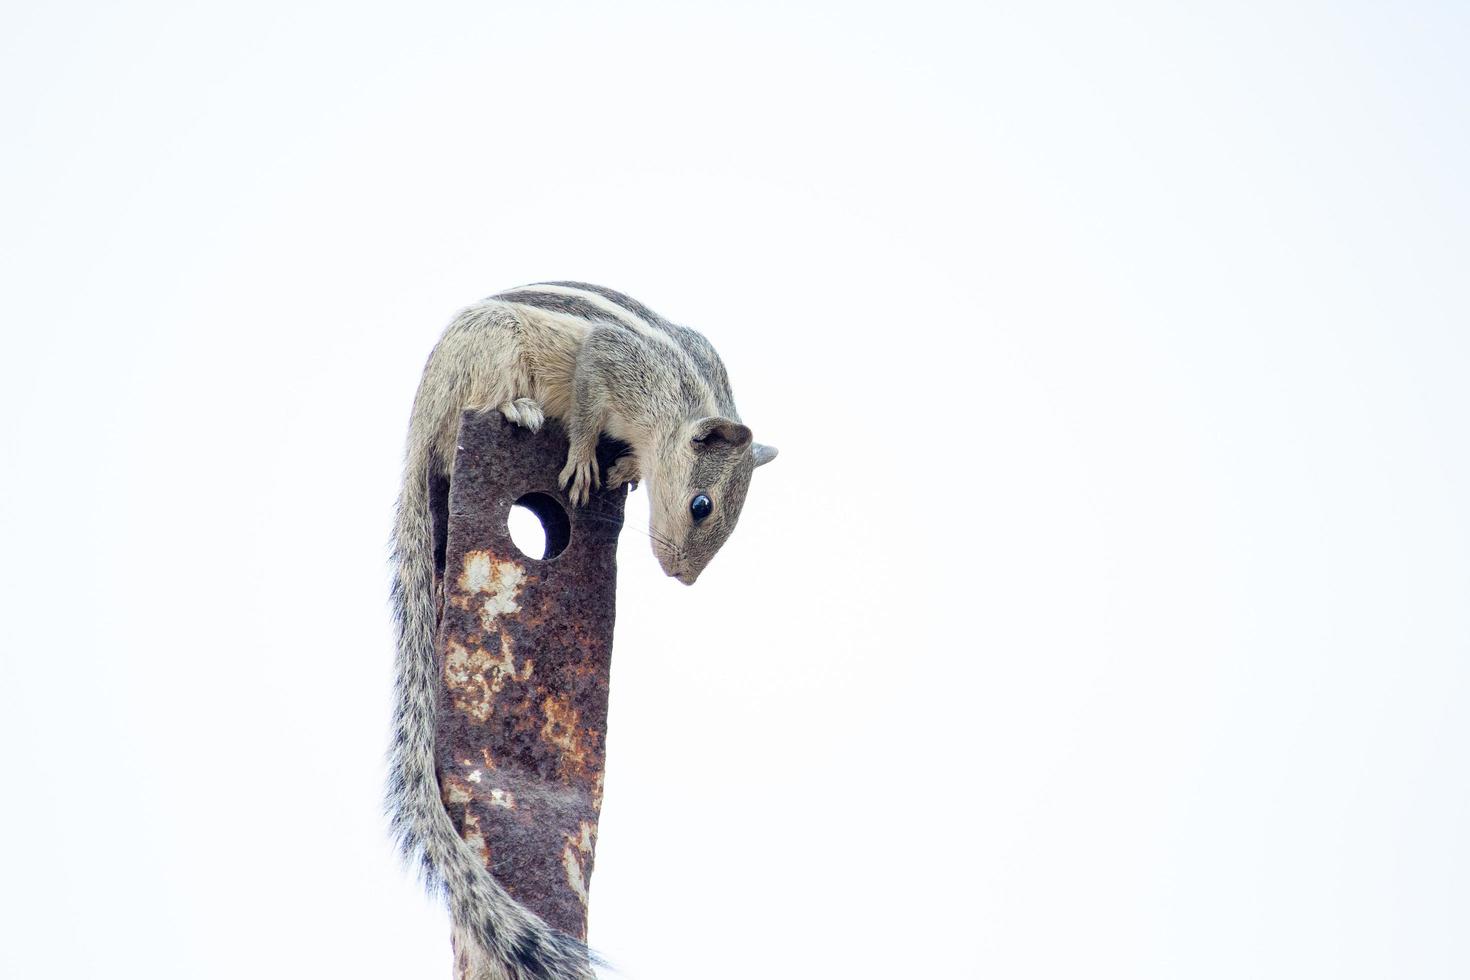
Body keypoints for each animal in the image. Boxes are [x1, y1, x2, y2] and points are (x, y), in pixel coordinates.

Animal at [391, 282, 782, 980]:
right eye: (701, 505)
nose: (684, 578)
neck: (680, 397)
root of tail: (422, 409)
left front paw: (625, 468)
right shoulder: (610, 364)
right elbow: (584, 405)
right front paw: (580, 460)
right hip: (489, 352)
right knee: (482, 402)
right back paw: (517, 407)